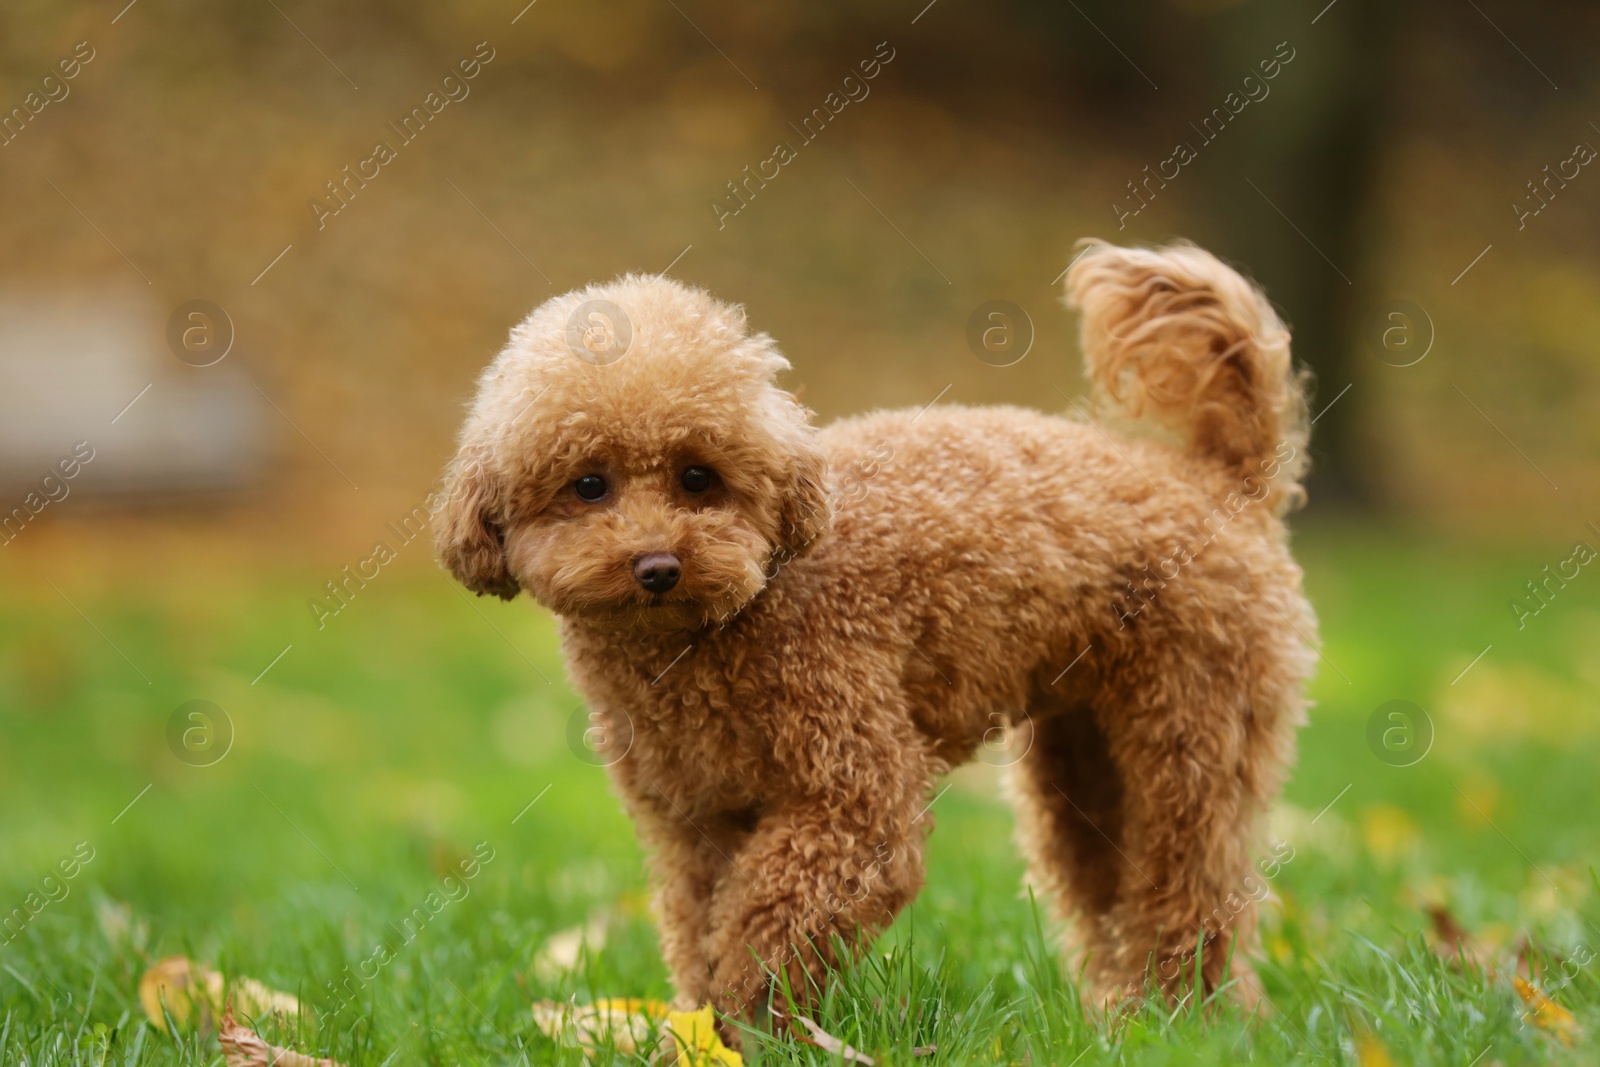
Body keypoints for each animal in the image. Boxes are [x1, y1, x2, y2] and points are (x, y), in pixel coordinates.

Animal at [435, 239, 1312, 1023]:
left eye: (697, 477)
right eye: (588, 484)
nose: (658, 565)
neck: (719, 628)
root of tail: (1222, 480)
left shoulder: (854, 792)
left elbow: (769, 918)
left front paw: (753, 1024)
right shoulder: (693, 820)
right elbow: (701, 921)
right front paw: (707, 1027)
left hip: (1194, 727)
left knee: (1191, 881)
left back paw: (1195, 1017)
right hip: (1085, 754)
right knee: (1112, 883)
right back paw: (1136, 1016)